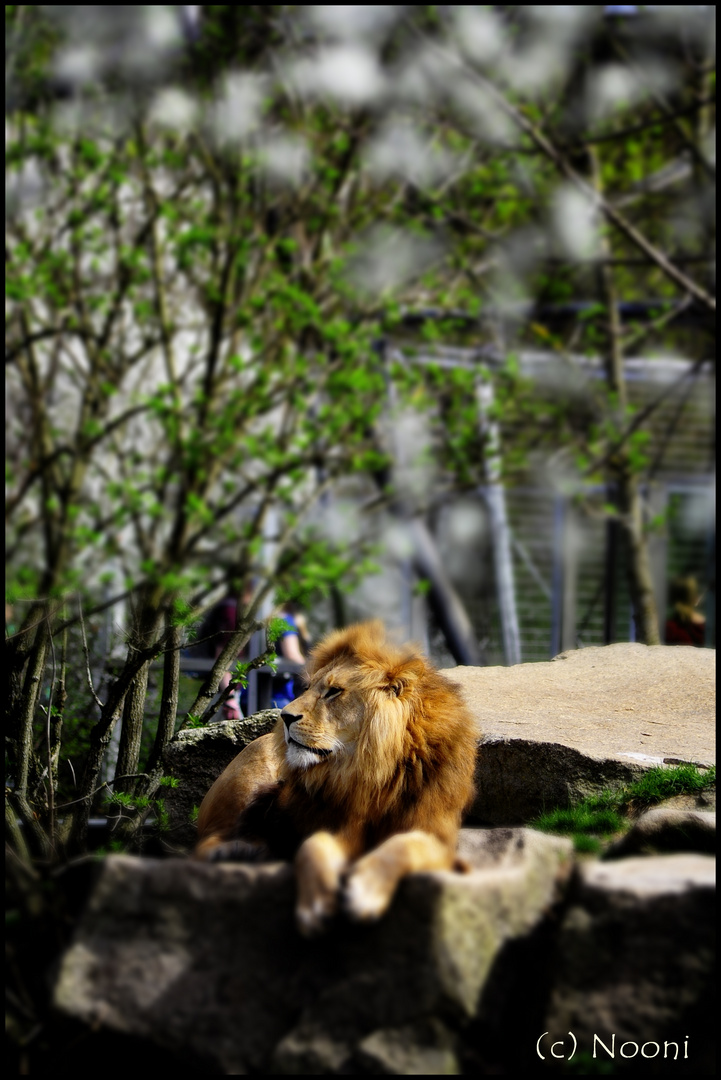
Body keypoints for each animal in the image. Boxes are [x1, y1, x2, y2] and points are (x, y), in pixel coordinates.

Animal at [194, 622, 481, 933]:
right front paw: (316, 906)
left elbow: (404, 845)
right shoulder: (337, 826)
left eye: (333, 691)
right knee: (204, 841)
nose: (284, 717)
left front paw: (365, 892)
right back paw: (235, 851)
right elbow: (313, 846)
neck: (370, 771)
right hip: (249, 775)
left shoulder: (441, 841)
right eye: (307, 688)